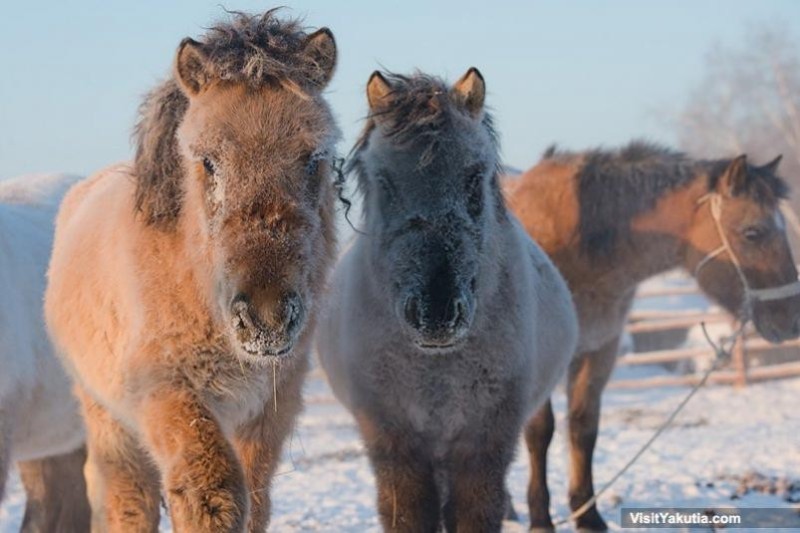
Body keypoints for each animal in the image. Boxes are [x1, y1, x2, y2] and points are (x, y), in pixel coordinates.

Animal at [44, 11, 338, 532]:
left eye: (313, 160)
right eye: (208, 162)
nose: (265, 318)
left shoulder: (269, 407)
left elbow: (254, 501)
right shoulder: (168, 394)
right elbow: (211, 494)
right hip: (105, 415)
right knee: (128, 498)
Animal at [316, 68, 580, 528]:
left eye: (474, 178)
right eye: (384, 182)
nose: (436, 313)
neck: (435, 370)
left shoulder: (483, 445)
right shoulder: (395, 445)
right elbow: (410, 515)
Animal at [506, 142, 800, 532]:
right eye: (753, 232)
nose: (793, 320)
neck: (578, 242)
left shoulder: (600, 349)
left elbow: (583, 428)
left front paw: (589, 517)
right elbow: (540, 432)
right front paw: (541, 520)